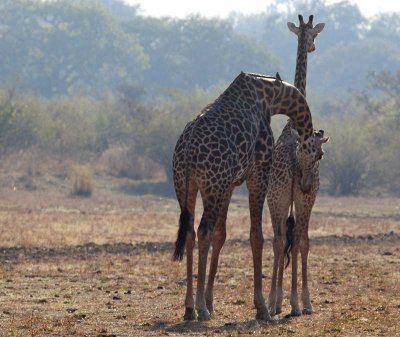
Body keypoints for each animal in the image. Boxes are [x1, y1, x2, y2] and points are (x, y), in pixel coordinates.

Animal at [172, 71, 322, 320]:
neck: (271, 96)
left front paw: (212, 301)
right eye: (318, 155)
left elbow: (221, 235)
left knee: (191, 233)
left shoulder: (230, 184)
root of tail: (187, 150)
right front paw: (262, 307)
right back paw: (201, 309)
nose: (306, 185)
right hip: (212, 185)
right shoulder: (258, 172)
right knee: (203, 231)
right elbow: (256, 236)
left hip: (186, 186)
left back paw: (190, 307)